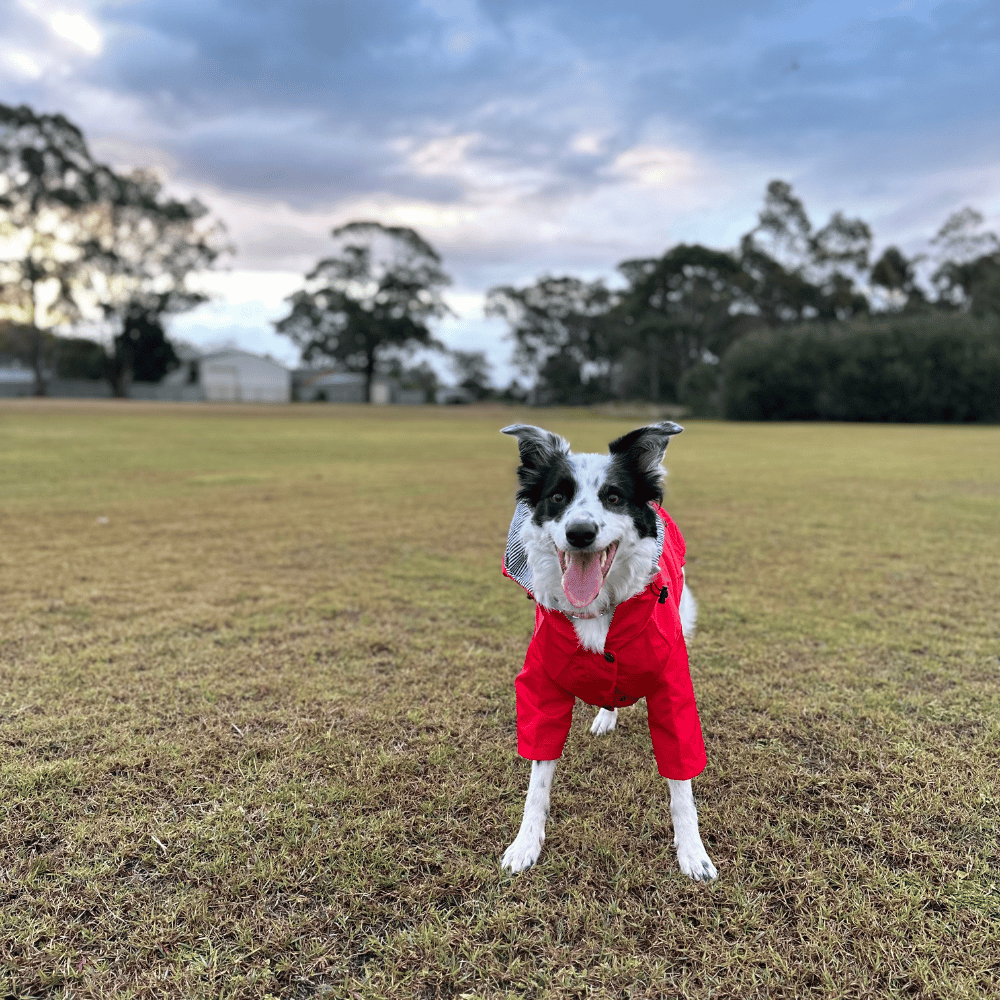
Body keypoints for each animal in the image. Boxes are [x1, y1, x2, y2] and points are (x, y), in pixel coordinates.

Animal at [498, 422, 716, 884]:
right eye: (558, 496)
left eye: (614, 496)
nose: (580, 533)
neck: (599, 608)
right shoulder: (541, 686)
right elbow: (537, 779)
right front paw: (525, 844)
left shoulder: (671, 681)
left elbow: (681, 781)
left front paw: (693, 851)